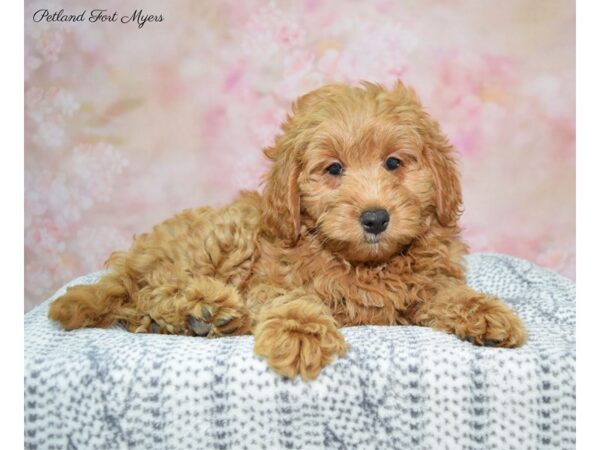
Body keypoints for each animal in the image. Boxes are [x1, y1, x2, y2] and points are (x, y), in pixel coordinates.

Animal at [48, 81, 524, 380]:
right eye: (333, 169)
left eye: (394, 163)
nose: (375, 218)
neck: (364, 264)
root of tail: (132, 261)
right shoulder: (271, 278)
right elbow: (292, 298)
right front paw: (300, 334)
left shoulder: (424, 287)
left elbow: (448, 294)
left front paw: (487, 313)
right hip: (225, 238)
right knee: (148, 293)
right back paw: (205, 309)